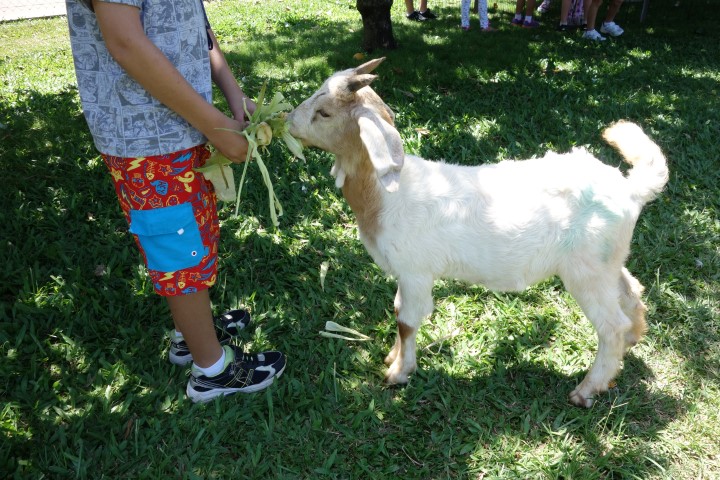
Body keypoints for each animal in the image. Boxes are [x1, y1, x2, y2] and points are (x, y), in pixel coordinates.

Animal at [286, 57, 668, 408]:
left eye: (324, 113)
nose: (288, 121)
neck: (385, 193)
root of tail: (631, 190)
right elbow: (397, 313)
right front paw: (392, 358)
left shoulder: (415, 272)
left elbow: (407, 320)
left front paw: (399, 373)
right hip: (606, 260)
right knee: (631, 290)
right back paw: (631, 340)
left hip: (585, 270)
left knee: (610, 324)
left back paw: (587, 389)